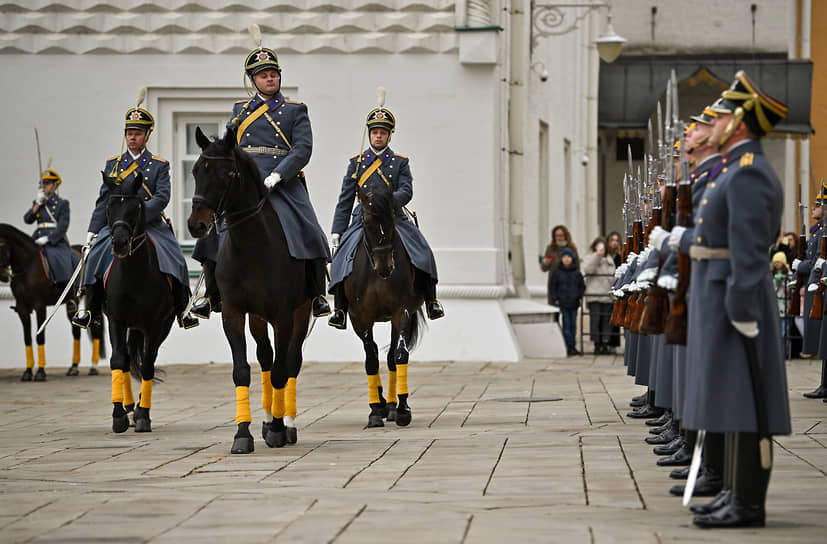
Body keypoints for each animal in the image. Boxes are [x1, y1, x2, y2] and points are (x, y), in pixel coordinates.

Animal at [0, 223, 105, 380]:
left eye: (1, 248)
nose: (3, 276)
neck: (27, 265)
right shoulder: (22, 308)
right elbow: (27, 338)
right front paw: (28, 371)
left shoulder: (40, 306)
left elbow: (40, 336)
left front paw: (40, 372)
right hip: (72, 304)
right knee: (76, 332)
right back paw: (73, 367)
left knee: (95, 330)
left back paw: (93, 367)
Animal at [102, 172, 176, 436]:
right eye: (110, 206)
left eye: (135, 207)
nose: (120, 243)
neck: (132, 275)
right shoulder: (115, 319)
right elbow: (118, 361)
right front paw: (118, 415)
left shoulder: (155, 325)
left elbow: (147, 365)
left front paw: (143, 415)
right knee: (125, 360)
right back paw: (128, 407)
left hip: (160, 327)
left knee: (146, 360)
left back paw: (139, 409)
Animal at [188, 126, 314, 454]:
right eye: (195, 170)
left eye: (225, 173)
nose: (196, 225)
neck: (252, 247)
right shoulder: (233, 313)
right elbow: (243, 370)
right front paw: (243, 433)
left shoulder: (283, 316)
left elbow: (283, 370)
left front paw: (279, 429)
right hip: (258, 318)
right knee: (266, 358)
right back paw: (269, 420)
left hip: (301, 312)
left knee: (290, 361)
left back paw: (286, 424)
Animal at [342, 178, 424, 430]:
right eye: (367, 223)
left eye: (392, 220)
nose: (385, 267)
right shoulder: (360, 317)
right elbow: (370, 360)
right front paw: (374, 411)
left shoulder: (402, 311)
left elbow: (398, 356)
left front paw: (402, 409)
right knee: (376, 355)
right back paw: (380, 403)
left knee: (389, 359)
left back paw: (390, 406)